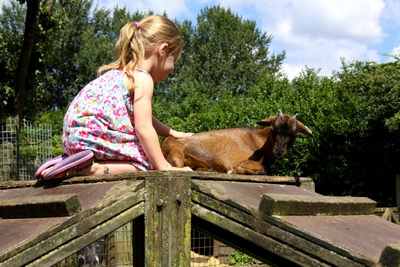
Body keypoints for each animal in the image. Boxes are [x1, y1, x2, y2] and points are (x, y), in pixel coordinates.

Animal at [161, 111, 314, 176]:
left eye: (294, 135)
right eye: (272, 129)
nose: (279, 152)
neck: (258, 142)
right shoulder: (236, 160)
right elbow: (263, 169)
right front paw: (233, 171)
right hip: (174, 152)